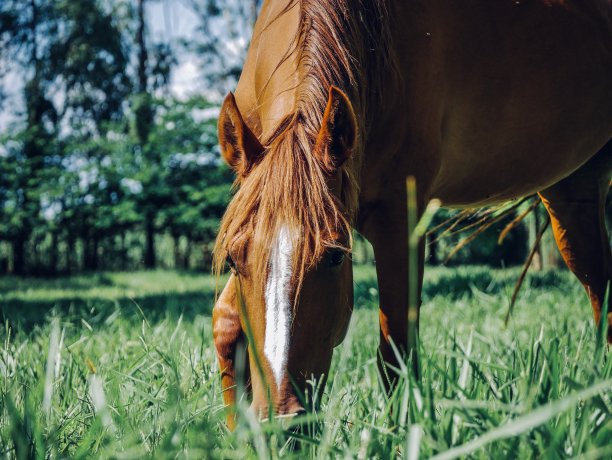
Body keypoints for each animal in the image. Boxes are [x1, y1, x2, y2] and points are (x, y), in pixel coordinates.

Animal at [212, 0, 612, 428]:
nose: (283, 422)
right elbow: (226, 322)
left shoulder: (399, 222)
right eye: (233, 260)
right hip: (573, 187)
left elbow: (396, 352)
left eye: (335, 256)